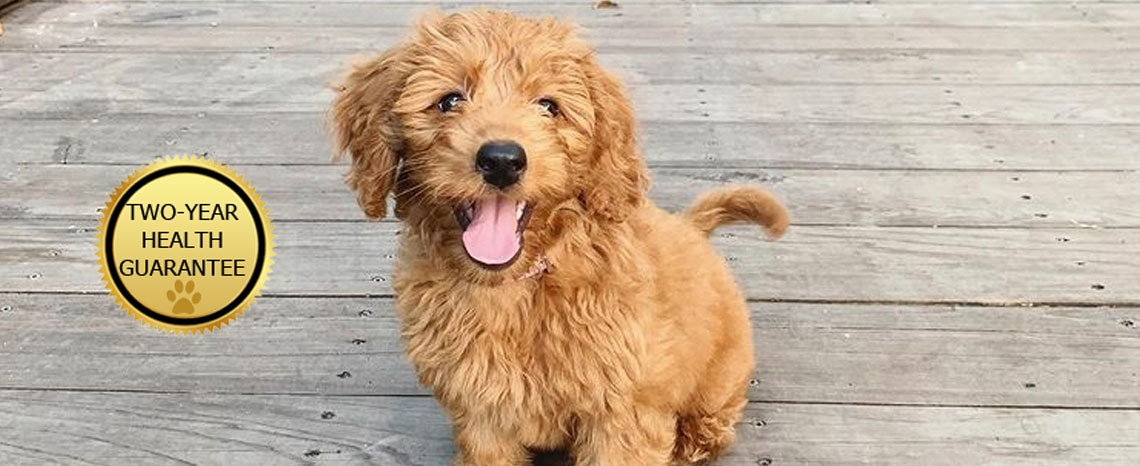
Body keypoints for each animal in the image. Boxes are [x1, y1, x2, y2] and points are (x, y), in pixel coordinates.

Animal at [332, 9, 788, 460]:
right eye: (449, 100)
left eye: (548, 106)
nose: (502, 160)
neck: (517, 286)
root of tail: (690, 226)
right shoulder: (481, 412)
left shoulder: (622, 412)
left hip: (724, 368)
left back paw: (695, 438)